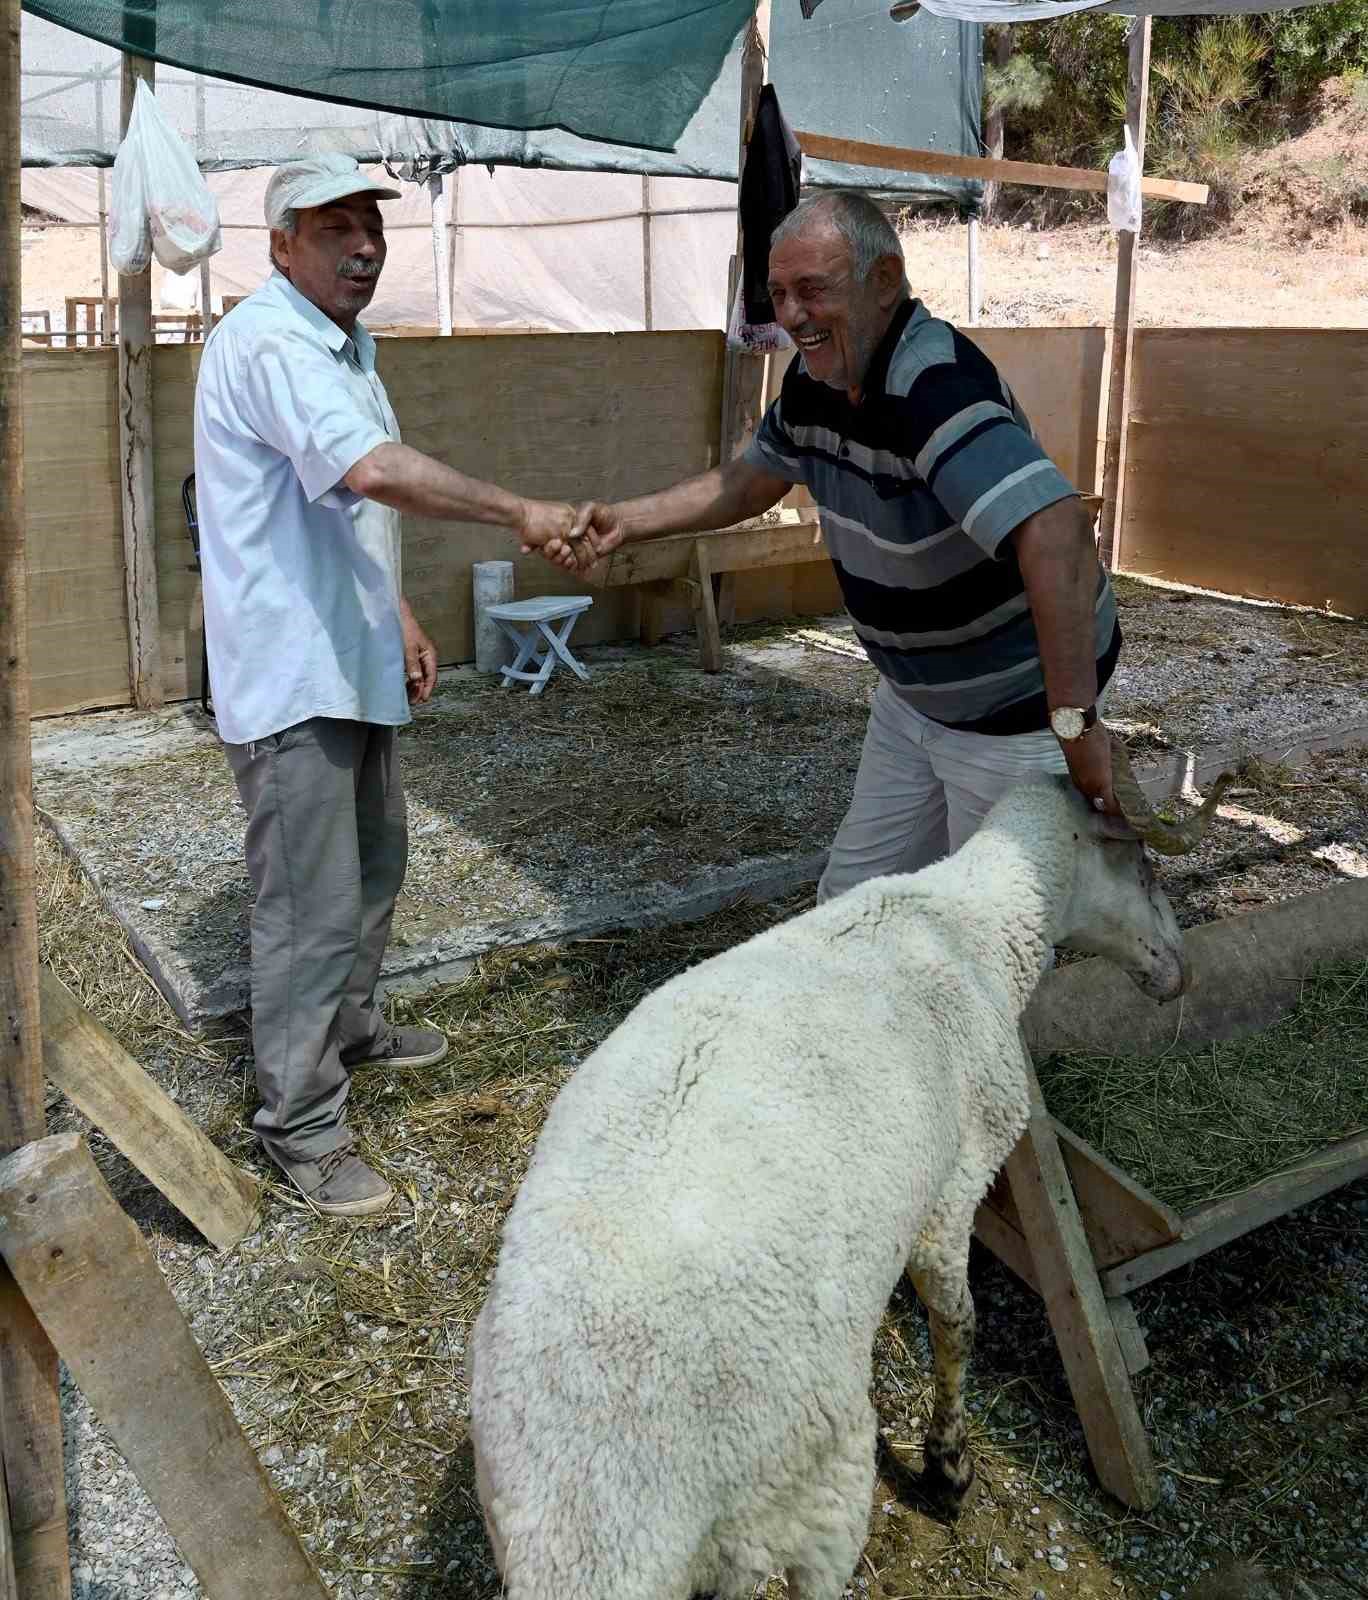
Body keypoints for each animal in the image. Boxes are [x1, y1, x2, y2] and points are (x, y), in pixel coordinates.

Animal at [470, 755, 1228, 1600]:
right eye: (1144, 866)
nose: (1182, 972)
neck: (969, 919)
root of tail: (594, 1542)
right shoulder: (953, 1187)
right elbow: (958, 1325)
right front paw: (948, 1466)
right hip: (811, 1500)